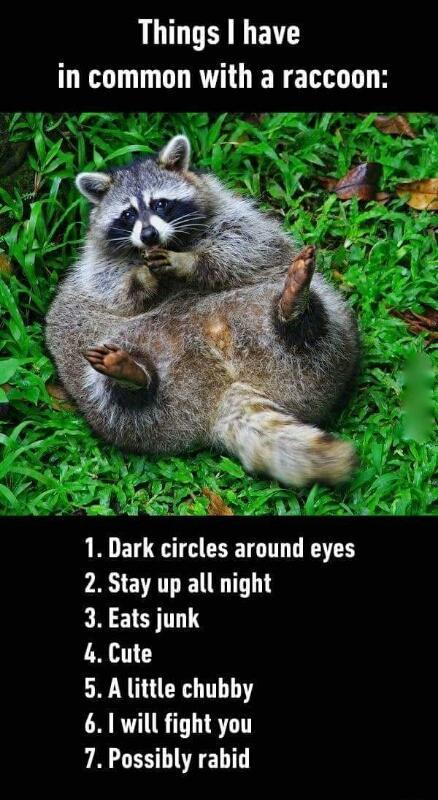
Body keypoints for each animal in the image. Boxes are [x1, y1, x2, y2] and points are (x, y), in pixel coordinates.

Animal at [46, 135, 359, 488]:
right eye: (127, 214)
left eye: (160, 204)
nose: (149, 235)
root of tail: (222, 394)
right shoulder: (97, 263)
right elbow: (113, 289)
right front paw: (142, 278)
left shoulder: (232, 213)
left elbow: (245, 244)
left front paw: (190, 262)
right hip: (125, 403)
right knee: (115, 395)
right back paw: (131, 375)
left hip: (297, 343)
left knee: (316, 331)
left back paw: (293, 308)